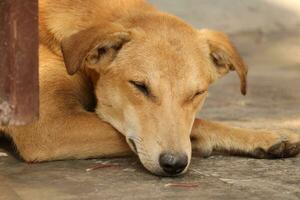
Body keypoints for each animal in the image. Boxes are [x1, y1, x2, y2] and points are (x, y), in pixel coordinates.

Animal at [0, 0, 300, 175]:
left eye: (197, 93)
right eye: (140, 86)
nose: (174, 164)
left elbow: (199, 121)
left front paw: (263, 137)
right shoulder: (48, 127)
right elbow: (199, 124)